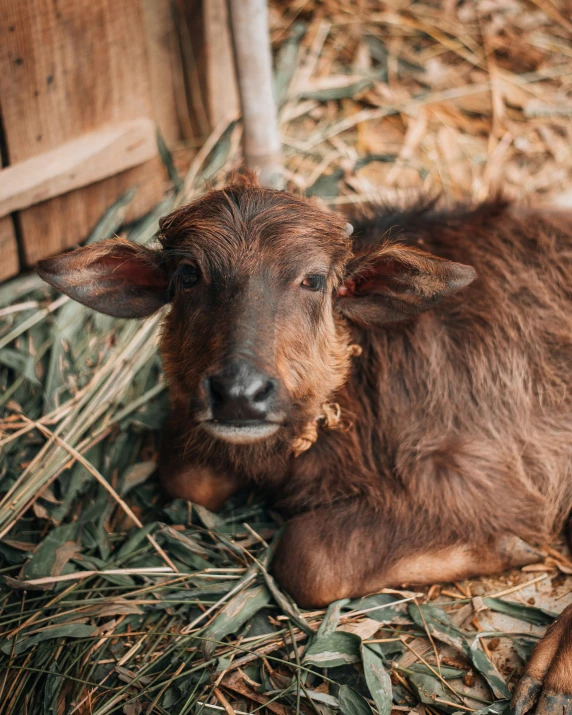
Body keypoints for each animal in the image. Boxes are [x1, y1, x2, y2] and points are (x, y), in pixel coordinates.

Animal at [38, 175, 568, 715]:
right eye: (188, 275)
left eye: (313, 280)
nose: (240, 394)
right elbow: (186, 479)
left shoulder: (472, 480)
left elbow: (308, 559)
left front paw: (505, 546)